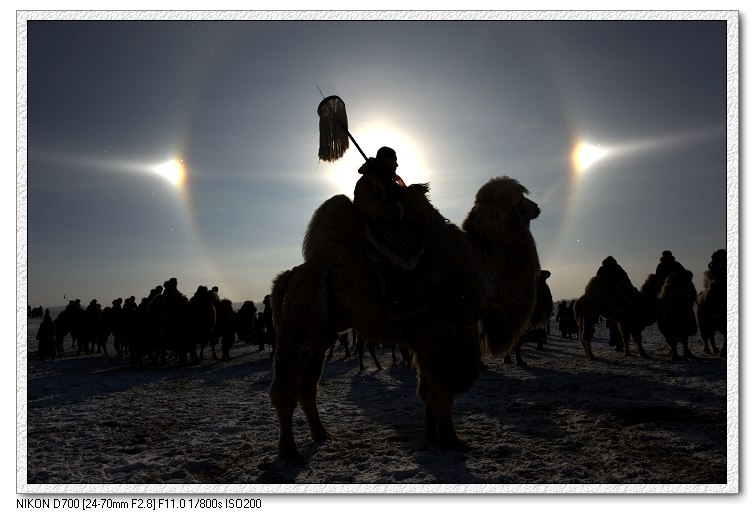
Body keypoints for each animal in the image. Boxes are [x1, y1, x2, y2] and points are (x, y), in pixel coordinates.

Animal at [272, 177, 544, 464]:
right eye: (518, 200)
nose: (536, 207)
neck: (478, 271)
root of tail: (291, 275)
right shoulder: (447, 334)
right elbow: (443, 390)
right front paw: (452, 441)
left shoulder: (429, 342)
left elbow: (428, 390)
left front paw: (432, 436)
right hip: (301, 324)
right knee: (285, 387)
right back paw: (290, 453)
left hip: (324, 332)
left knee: (308, 385)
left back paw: (321, 435)